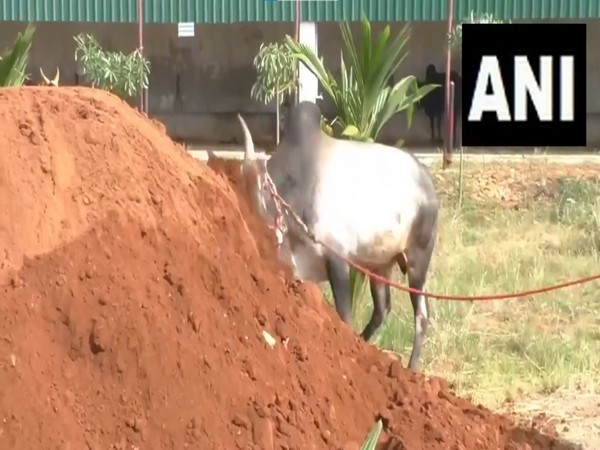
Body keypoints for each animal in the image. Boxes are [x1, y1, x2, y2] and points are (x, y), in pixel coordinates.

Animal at [237, 103, 438, 372]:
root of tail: (427, 183)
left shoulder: (337, 259)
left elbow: (344, 316)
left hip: (417, 261)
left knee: (422, 314)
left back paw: (412, 367)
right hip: (379, 265)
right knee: (382, 308)